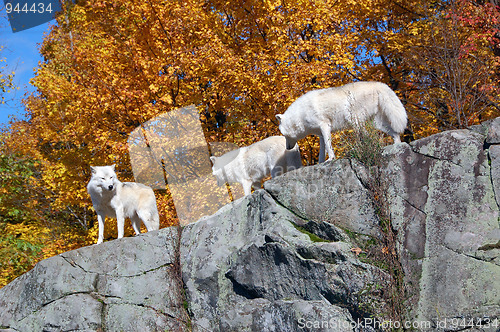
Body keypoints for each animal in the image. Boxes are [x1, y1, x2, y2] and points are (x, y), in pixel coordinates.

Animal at [276, 81, 408, 162]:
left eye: (284, 135)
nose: (287, 148)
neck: (300, 115)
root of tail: (379, 84)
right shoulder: (320, 134)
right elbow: (322, 152)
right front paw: (320, 163)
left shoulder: (325, 126)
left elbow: (329, 146)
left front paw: (331, 159)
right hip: (377, 124)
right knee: (395, 134)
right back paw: (397, 146)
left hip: (355, 121)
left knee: (366, 136)